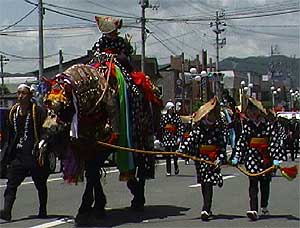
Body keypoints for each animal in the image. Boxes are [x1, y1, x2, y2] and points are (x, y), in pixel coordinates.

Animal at [39, 15, 163, 224]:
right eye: (46, 105)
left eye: (65, 108)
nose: (49, 134)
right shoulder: (85, 144)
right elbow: (92, 173)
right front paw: (89, 206)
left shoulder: (104, 144)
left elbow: (93, 170)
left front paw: (94, 205)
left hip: (143, 135)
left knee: (142, 163)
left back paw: (138, 198)